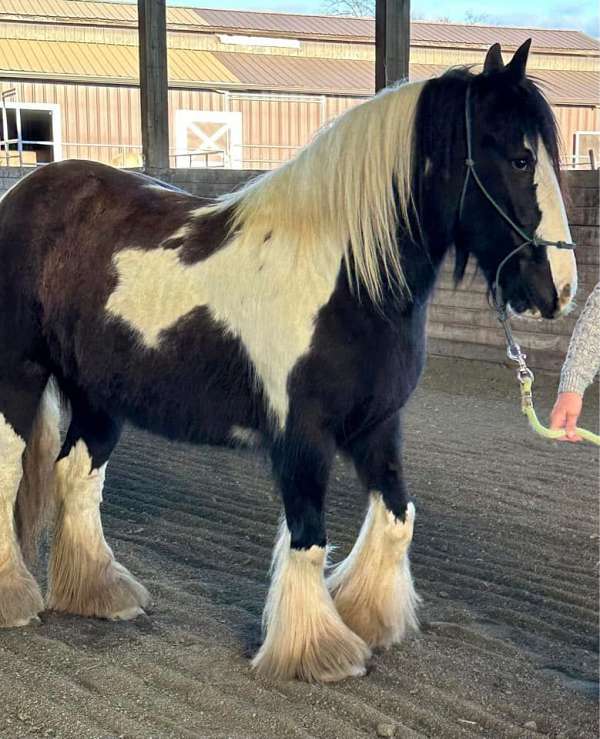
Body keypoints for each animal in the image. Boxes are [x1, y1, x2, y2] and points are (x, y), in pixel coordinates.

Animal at [0, 40, 576, 684]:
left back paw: (101, 594)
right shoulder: (303, 435)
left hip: (99, 396)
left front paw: (368, 618)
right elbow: (309, 538)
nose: (560, 290)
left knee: (77, 474)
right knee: (10, 475)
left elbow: (397, 517)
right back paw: (17, 602)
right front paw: (318, 653)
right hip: (18, 377)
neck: (345, 277)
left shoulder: (378, 426)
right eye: (521, 158)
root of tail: (24, 193)